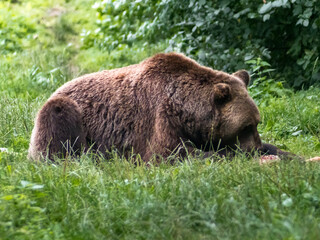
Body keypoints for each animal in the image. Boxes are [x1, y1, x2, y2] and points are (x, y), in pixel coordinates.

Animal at [28, 51, 292, 162]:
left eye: (256, 123)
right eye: (245, 126)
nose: (255, 147)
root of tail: (57, 87)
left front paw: (283, 153)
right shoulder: (158, 120)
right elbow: (170, 154)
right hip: (67, 117)